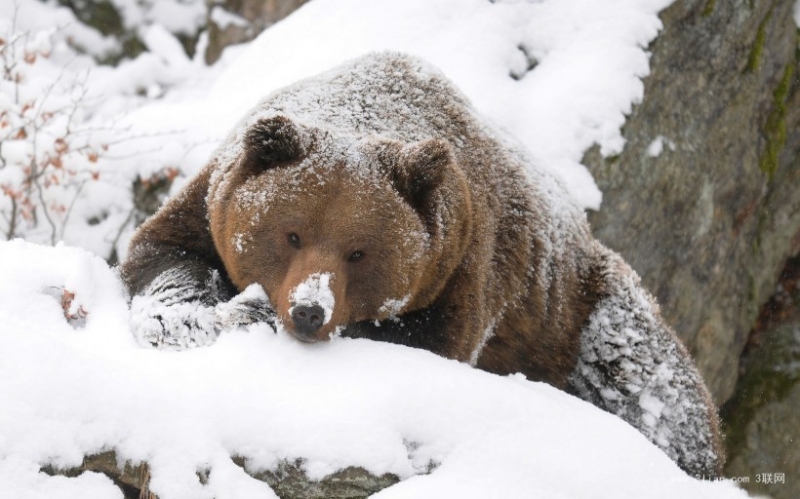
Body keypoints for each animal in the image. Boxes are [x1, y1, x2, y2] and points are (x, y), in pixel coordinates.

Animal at [120, 52, 724, 478]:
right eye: (291, 234)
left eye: (359, 251)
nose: (310, 311)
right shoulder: (210, 201)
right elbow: (163, 253)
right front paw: (184, 318)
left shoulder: (463, 266)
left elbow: (425, 341)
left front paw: (251, 313)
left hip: (579, 310)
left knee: (651, 384)